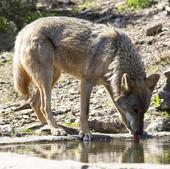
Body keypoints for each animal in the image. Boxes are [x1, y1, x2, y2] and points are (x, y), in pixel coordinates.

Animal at [13, 16, 159, 141]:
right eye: (135, 109)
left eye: (144, 111)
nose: (140, 132)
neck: (114, 54)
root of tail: (24, 30)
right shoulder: (86, 82)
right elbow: (85, 111)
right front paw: (85, 133)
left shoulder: (110, 86)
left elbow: (120, 111)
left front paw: (129, 130)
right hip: (47, 78)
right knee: (44, 106)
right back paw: (55, 129)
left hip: (53, 77)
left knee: (35, 102)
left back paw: (48, 125)